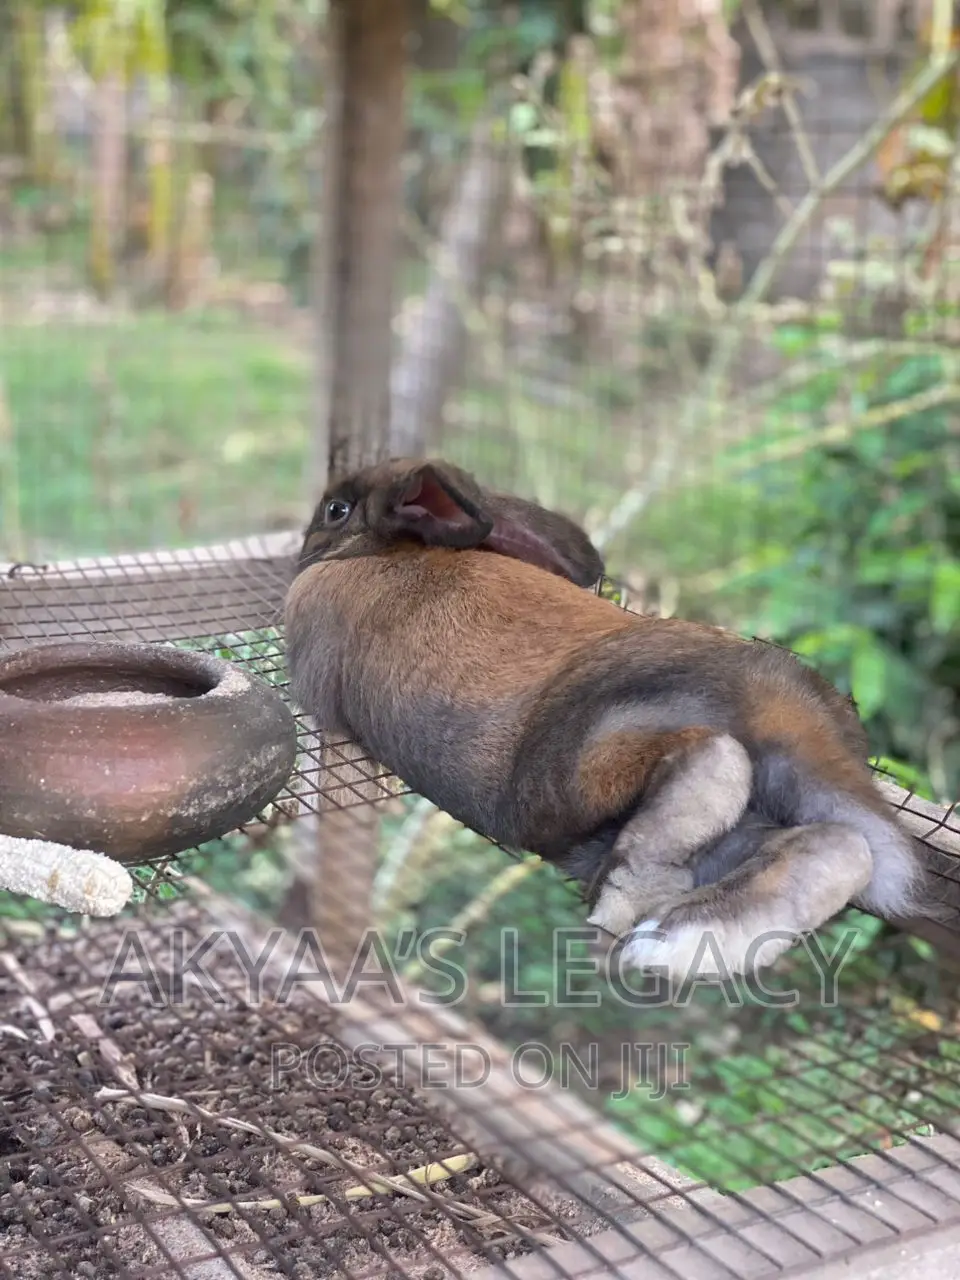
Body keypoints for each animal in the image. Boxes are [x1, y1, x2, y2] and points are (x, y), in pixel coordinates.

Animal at [284, 457, 935, 980]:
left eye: (336, 509)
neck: (380, 551)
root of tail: (773, 698)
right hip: (688, 825)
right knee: (831, 846)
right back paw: (676, 940)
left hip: (573, 760)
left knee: (710, 761)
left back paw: (627, 906)